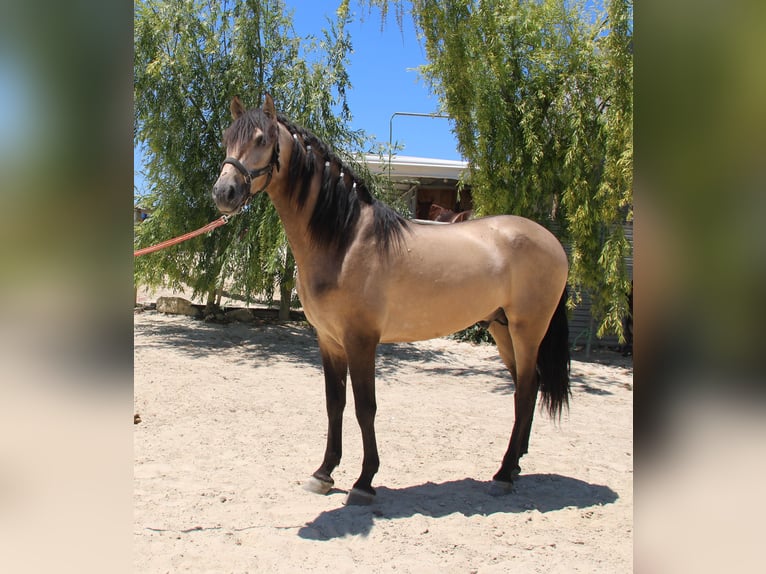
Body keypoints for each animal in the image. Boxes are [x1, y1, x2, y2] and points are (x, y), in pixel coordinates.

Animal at [210, 95, 568, 508]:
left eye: (261, 139)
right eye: (227, 137)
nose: (224, 193)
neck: (344, 239)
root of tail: (552, 241)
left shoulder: (361, 340)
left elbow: (366, 407)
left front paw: (365, 481)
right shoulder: (329, 341)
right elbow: (335, 404)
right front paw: (324, 473)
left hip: (527, 330)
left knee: (525, 392)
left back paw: (503, 474)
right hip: (502, 329)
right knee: (527, 387)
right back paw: (517, 464)